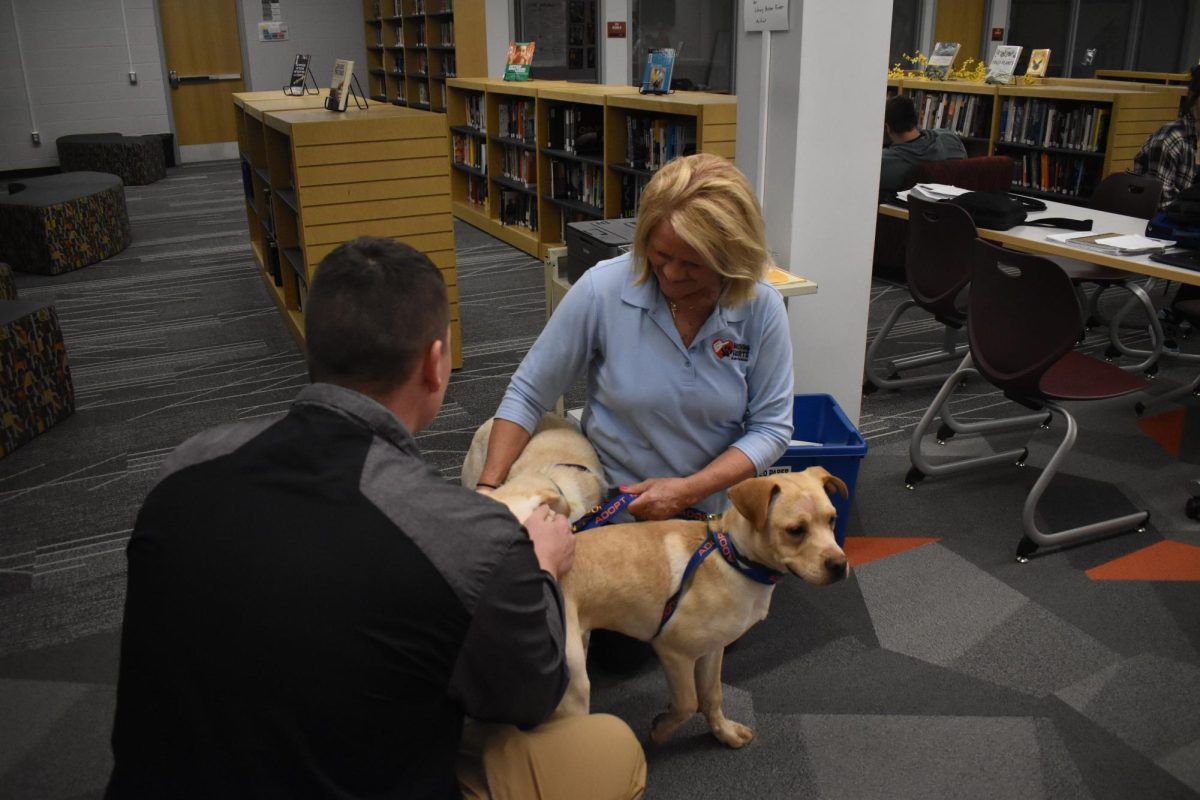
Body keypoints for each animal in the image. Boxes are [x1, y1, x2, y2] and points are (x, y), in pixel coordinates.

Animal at [556, 470, 849, 753]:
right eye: (796, 530)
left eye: (832, 520)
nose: (840, 565)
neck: (733, 558)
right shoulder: (673, 651)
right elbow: (688, 703)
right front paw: (661, 730)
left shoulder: (712, 649)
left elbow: (711, 696)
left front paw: (724, 733)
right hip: (575, 686)